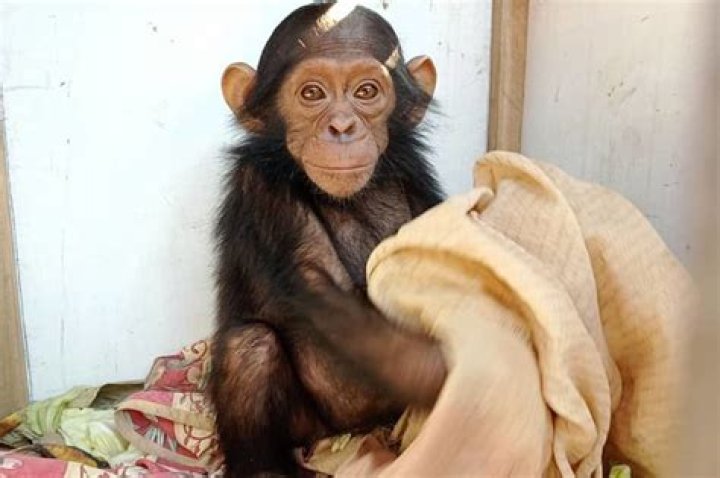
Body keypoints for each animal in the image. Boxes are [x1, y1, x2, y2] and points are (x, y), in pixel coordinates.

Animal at [210, 4, 448, 476]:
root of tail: (348, 431)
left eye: (367, 91)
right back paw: (264, 468)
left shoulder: (419, 180)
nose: (341, 126)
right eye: (312, 94)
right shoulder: (262, 190)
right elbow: (319, 287)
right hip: (309, 425)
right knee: (250, 348)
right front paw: (444, 369)